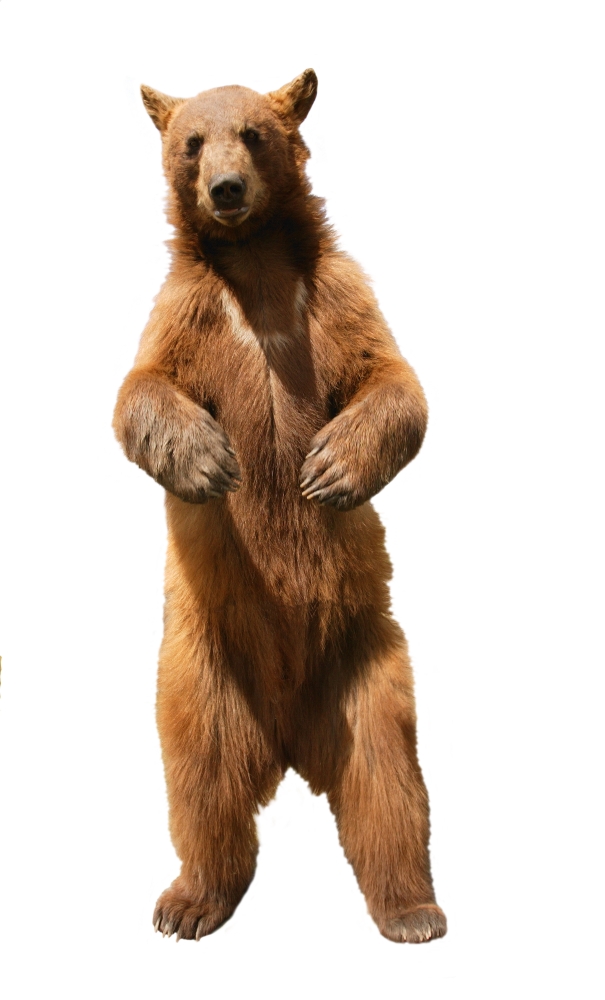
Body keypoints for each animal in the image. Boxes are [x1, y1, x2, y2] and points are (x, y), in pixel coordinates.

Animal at [113, 69, 446, 944]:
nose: (225, 189)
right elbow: (140, 392)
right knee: (203, 781)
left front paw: (328, 469)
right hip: (202, 666)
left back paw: (411, 909)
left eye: (255, 134)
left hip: (366, 661)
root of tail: (291, 743)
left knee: (388, 782)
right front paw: (210, 460)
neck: (257, 271)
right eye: (192, 141)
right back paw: (189, 902)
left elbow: (391, 379)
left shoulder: (335, 300)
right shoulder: (185, 314)